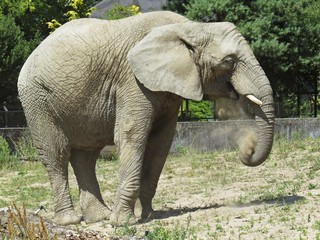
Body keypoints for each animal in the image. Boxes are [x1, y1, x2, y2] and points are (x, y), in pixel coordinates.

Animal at [16, 10, 276, 225]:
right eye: (229, 62)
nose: (247, 148)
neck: (191, 27)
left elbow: (160, 144)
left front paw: (150, 216)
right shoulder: (132, 80)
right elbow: (132, 136)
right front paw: (124, 223)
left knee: (86, 156)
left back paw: (99, 217)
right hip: (36, 99)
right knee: (57, 154)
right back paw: (71, 221)